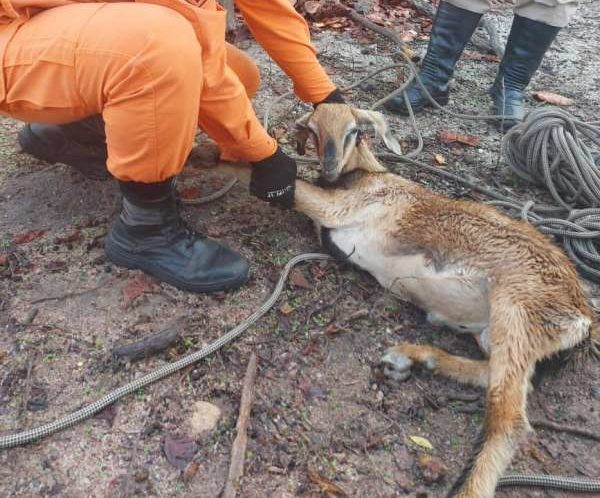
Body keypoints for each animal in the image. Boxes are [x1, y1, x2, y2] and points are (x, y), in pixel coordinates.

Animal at [218, 103, 596, 496]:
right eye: (315, 130)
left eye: (354, 131)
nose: (330, 165)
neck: (364, 177)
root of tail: (583, 318)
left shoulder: (340, 207)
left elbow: (262, 178)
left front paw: (207, 158)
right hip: (497, 331)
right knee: (491, 376)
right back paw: (414, 358)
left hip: (518, 309)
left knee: (509, 419)